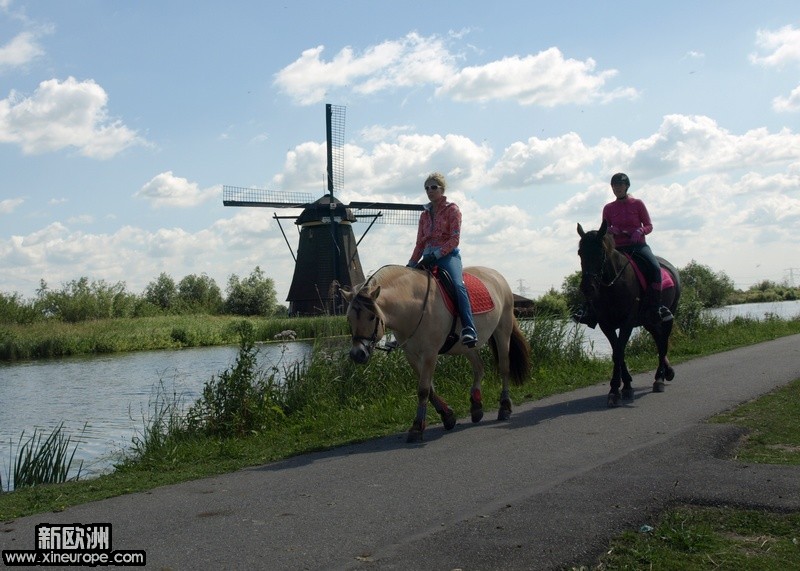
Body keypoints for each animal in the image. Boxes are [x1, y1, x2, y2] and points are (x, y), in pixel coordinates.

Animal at [340, 266, 532, 444]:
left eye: (372, 317)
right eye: (349, 318)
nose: (358, 354)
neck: (414, 307)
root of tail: (496, 275)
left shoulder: (430, 354)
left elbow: (424, 390)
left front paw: (417, 427)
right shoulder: (411, 355)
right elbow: (430, 389)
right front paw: (447, 416)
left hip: (502, 331)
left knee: (504, 368)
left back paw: (504, 407)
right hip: (467, 346)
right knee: (479, 368)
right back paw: (476, 407)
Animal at [576, 220, 680, 406]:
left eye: (600, 252)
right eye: (580, 252)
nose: (588, 288)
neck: (613, 285)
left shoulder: (627, 322)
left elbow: (619, 352)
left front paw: (616, 390)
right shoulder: (606, 324)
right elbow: (618, 352)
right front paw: (624, 387)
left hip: (668, 316)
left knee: (663, 343)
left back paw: (659, 379)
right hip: (649, 321)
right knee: (658, 338)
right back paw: (667, 372)